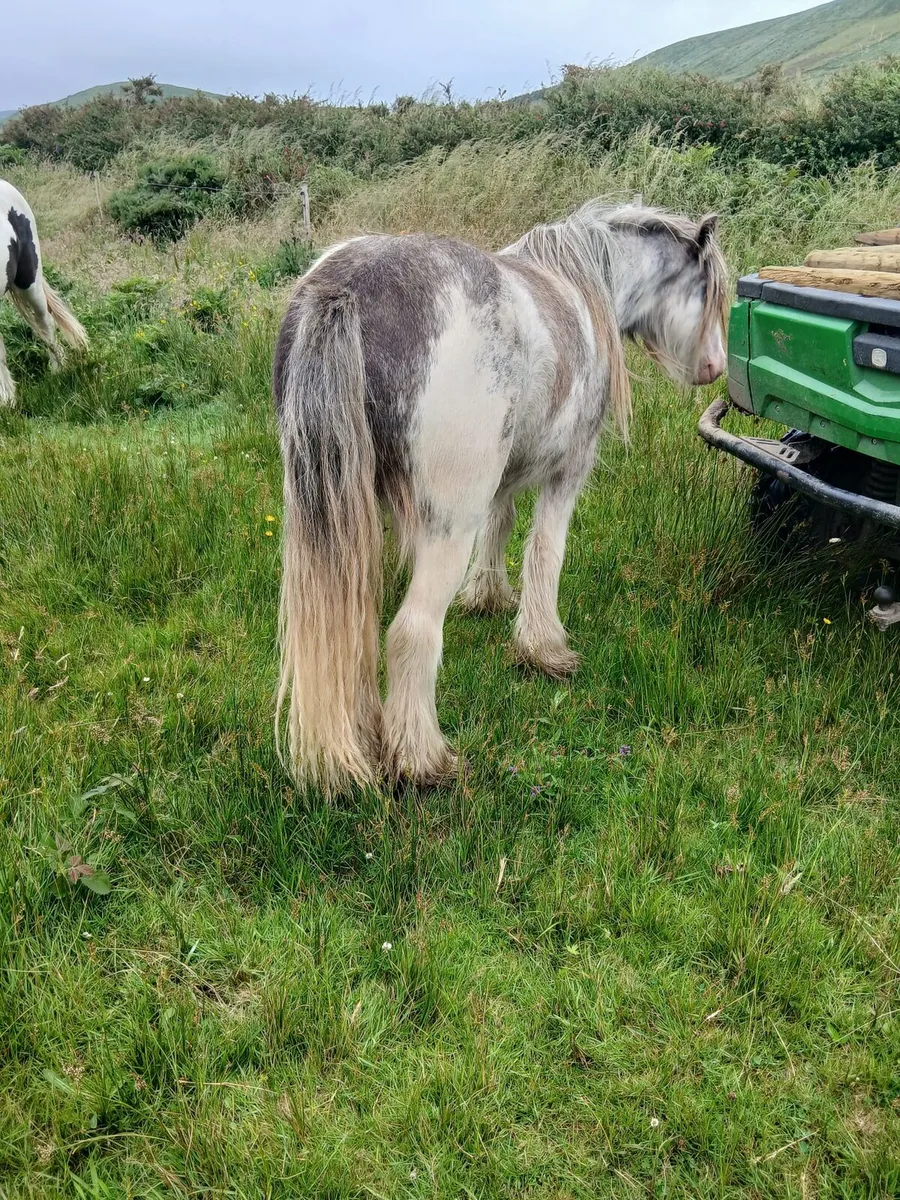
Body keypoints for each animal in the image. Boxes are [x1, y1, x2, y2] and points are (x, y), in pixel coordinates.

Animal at [273, 201, 728, 792]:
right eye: (709, 289)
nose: (716, 367)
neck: (586, 281)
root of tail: (347, 288)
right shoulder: (569, 471)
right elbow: (545, 553)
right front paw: (543, 648)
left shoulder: (503, 478)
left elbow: (502, 524)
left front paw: (488, 596)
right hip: (445, 528)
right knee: (411, 632)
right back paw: (422, 760)